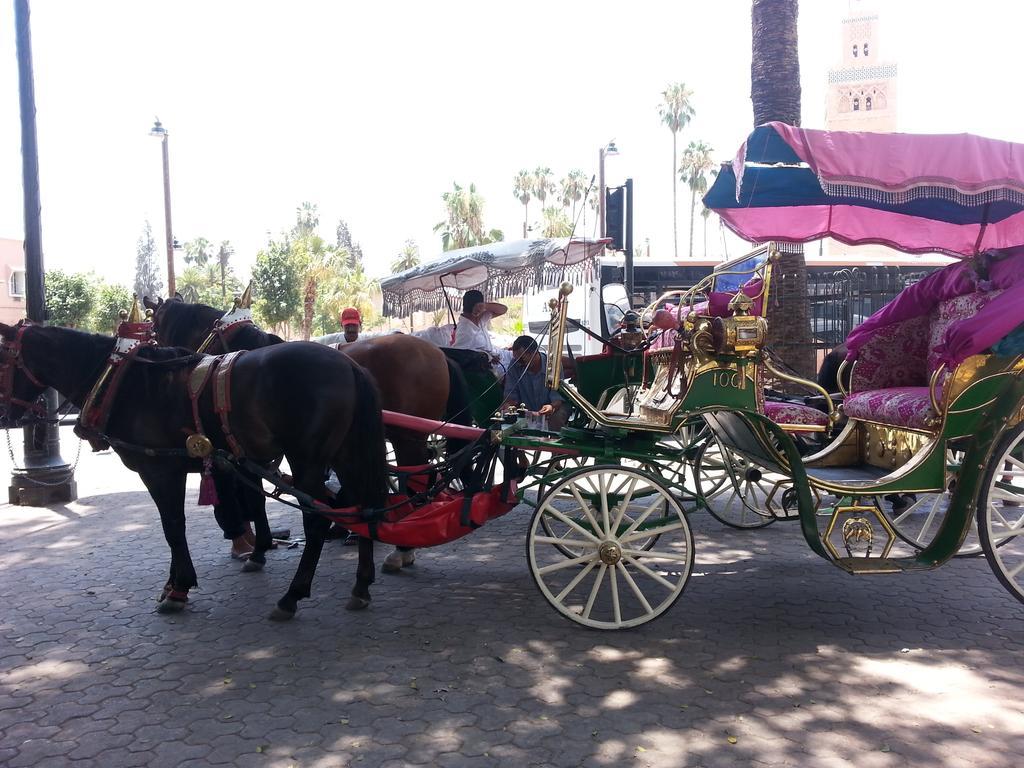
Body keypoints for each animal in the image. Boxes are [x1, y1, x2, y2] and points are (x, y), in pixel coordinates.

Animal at [0, 321, 387, 622]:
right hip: (345, 454)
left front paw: (179, 587)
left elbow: (173, 526)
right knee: (362, 506)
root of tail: (349, 364)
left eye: (2, 357)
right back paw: (361, 584)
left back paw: (292, 595)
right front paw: (176, 582)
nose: (6, 415)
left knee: (318, 519)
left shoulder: (159, 470)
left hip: (308, 460)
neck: (126, 382)